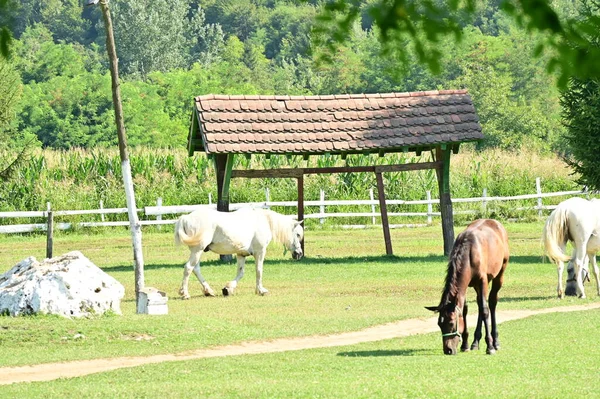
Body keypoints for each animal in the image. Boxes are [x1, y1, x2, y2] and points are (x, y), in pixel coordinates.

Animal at [173, 208, 304, 298]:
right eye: (297, 234)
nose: (299, 254)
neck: (264, 221)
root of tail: (186, 218)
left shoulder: (241, 254)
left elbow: (241, 273)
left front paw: (228, 289)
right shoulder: (260, 252)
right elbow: (259, 271)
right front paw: (260, 290)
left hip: (198, 251)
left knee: (195, 269)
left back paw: (208, 291)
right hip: (197, 251)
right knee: (188, 268)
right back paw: (185, 294)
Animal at [424, 222, 508, 356]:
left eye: (451, 323)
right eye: (439, 324)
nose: (448, 350)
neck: (469, 253)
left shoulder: (483, 281)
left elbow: (485, 310)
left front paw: (489, 346)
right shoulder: (465, 286)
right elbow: (465, 310)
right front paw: (465, 344)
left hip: (499, 275)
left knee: (491, 302)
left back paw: (495, 341)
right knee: (480, 304)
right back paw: (475, 342)